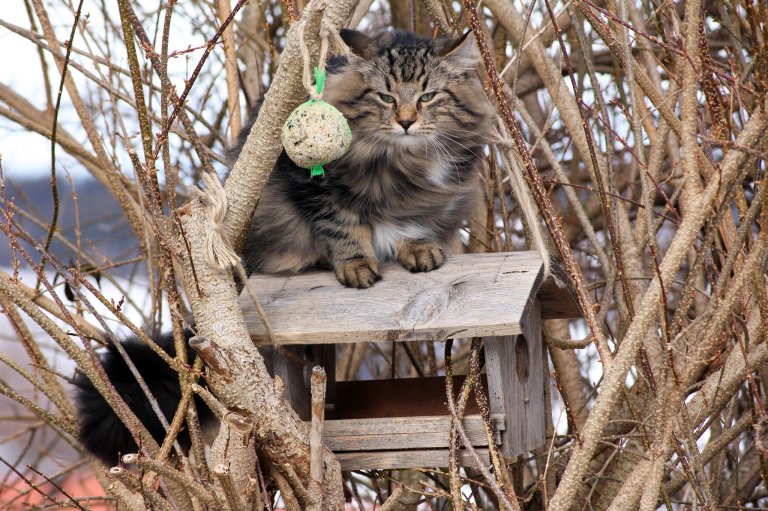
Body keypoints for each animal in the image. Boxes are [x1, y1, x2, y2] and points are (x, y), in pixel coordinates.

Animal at [75, 30, 496, 466]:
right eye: (386, 97)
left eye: (428, 96)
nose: (407, 121)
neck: (404, 164)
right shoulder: (315, 188)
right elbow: (344, 228)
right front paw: (357, 266)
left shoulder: (440, 196)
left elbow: (416, 224)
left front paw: (419, 250)